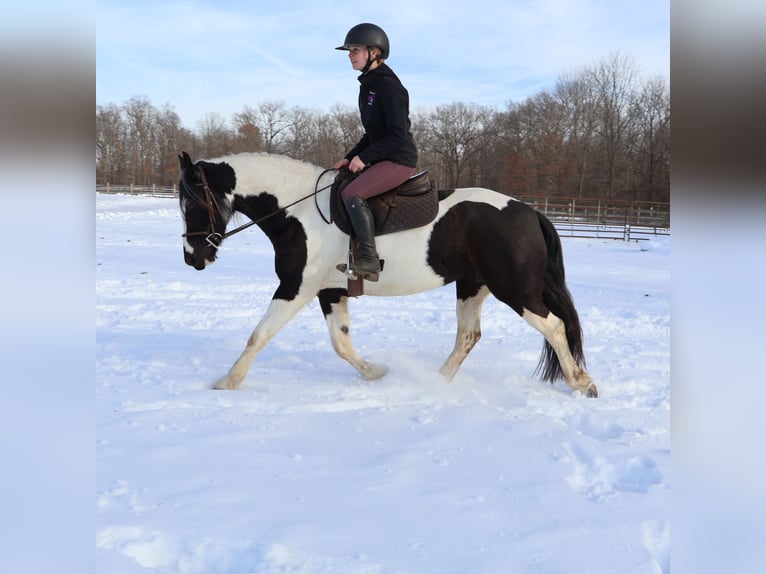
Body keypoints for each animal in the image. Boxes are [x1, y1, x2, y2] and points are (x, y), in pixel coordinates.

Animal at [177, 151, 597, 398]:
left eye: (192, 204)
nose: (193, 258)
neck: (299, 211)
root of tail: (529, 212)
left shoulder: (296, 286)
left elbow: (259, 335)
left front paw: (227, 381)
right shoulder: (329, 291)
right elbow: (341, 343)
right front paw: (376, 373)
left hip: (514, 290)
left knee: (554, 326)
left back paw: (582, 383)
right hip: (472, 285)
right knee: (468, 336)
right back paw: (436, 382)